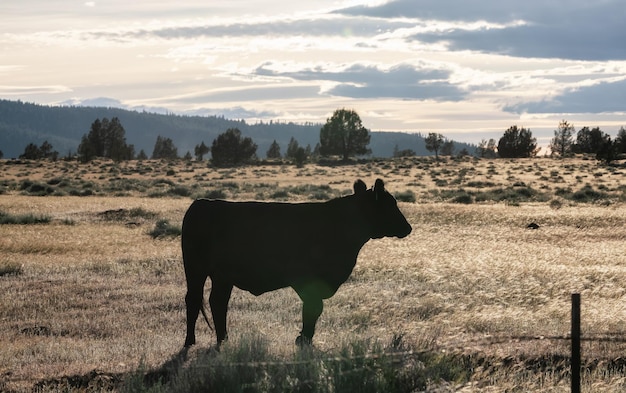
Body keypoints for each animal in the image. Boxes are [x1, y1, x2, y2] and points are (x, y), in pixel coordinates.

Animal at [182, 178, 410, 346]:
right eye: (390, 205)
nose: (408, 227)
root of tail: (201, 203)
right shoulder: (305, 280)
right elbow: (313, 308)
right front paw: (304, 339)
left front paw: (304, 338)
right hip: (195, 269)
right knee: (194, 300)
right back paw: (190, 341)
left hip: (222, 276)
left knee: (217, 302)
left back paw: (223, 340)